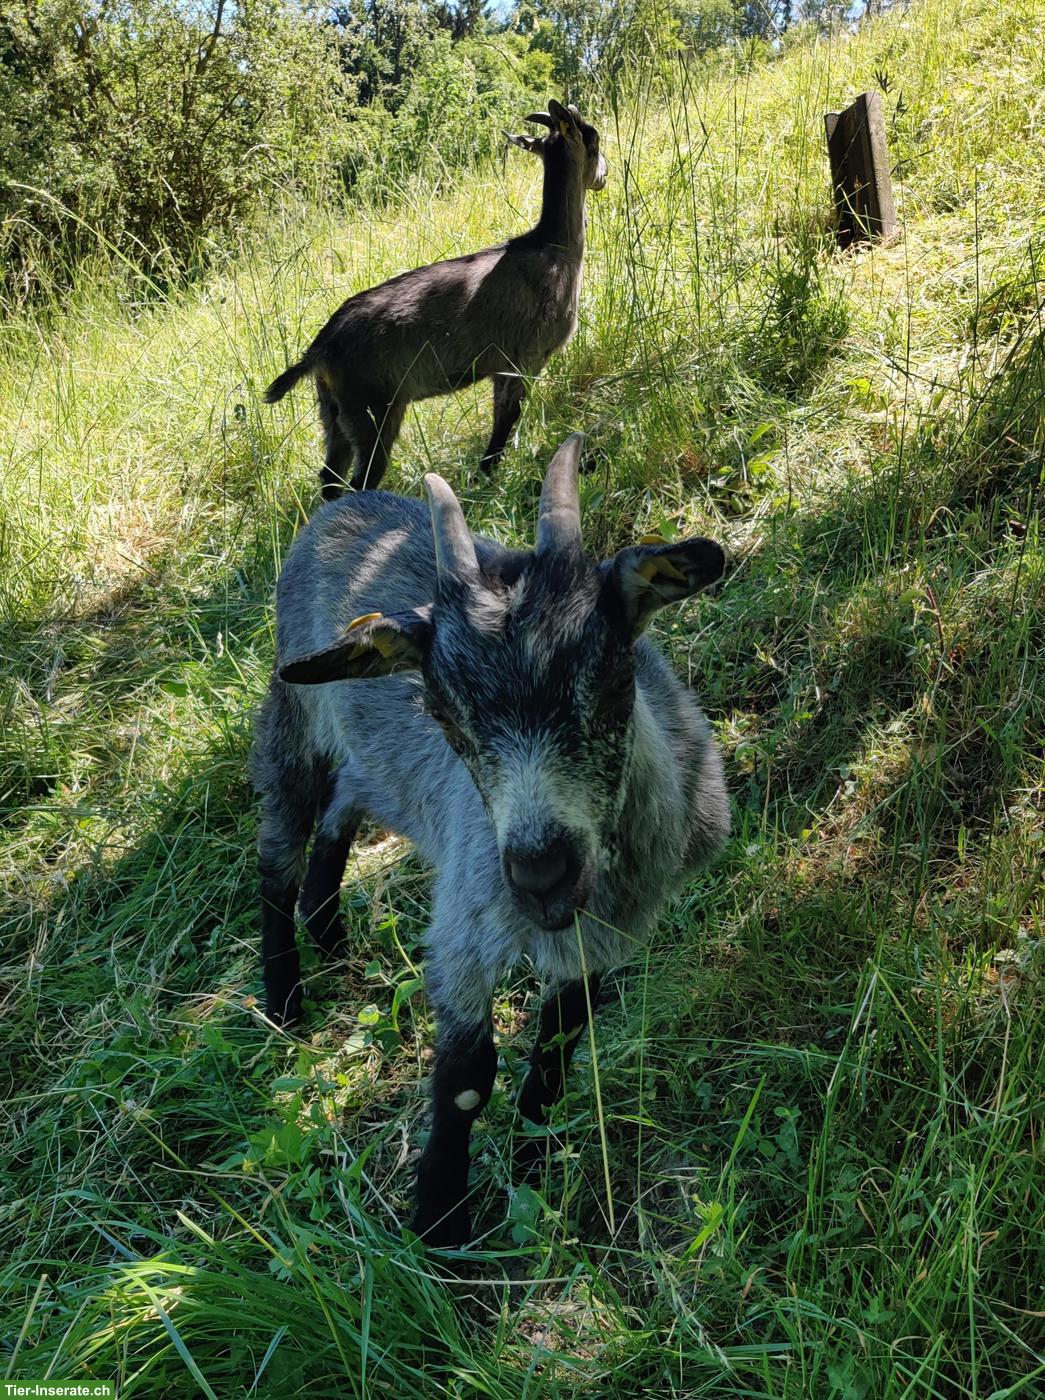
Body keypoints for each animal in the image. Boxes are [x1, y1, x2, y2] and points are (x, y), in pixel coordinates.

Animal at [251, 433, 729, 1246]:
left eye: (612, 678)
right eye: (444, 713)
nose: (541, 875)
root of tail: (345, 504)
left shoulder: (603, 937)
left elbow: (559, 1047)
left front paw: (533, 1161)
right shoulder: (467, 920)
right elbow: (468, 1076)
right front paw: (439, 1224)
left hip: (368, 763)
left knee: (345, 803)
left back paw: (330, 935)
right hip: (291, 717)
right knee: (277, 851)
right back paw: (284, 996)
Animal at [263, 100, 607, 497]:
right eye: (593, 138)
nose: (604, 175)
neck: (552, 248)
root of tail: (321, 348)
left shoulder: (500, 366)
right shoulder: (525, 358)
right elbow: (507, 417)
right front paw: (486, 474)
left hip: (333, 412)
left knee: (330, 479)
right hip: (373, 410)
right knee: (361, 479)